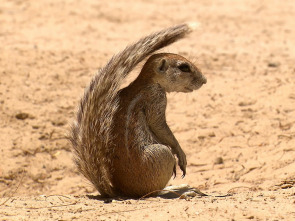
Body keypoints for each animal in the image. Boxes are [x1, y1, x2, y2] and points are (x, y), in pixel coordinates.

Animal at [70, 23, 207, 197]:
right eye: (184, 67)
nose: (204, 80)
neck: (146, 82)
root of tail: (119, 191)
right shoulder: (156, 101)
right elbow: (160, 127)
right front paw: (180, 154)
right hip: (162, 154)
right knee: (153, 192)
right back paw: (179, 190)